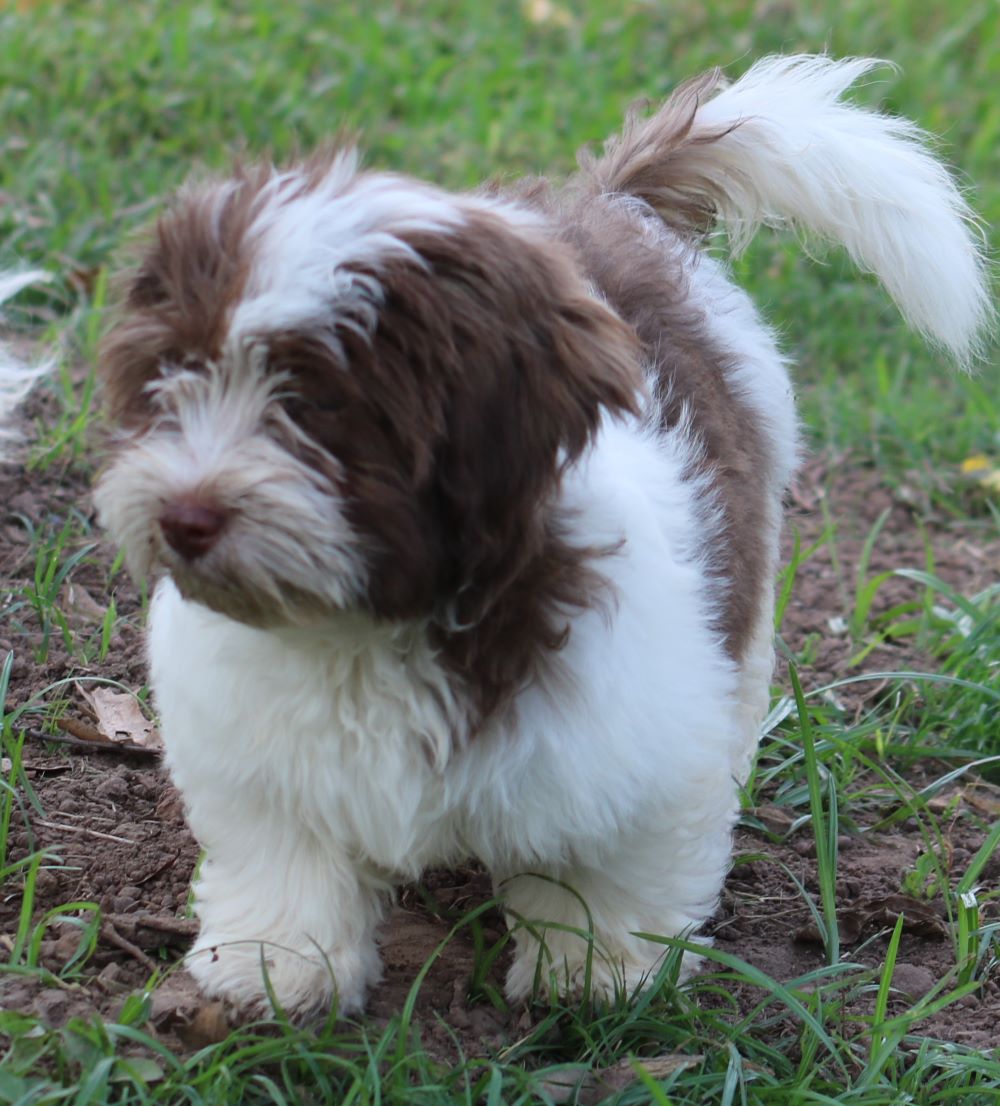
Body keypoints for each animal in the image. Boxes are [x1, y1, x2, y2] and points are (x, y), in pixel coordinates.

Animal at [95, 53, 991, 1017]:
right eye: (170, 378)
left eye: (316, 407)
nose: (184, 516)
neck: (375, 622)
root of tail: (605, 205)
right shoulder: (254, 742)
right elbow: (287, 853)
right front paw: (276, 967)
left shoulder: (630, 738)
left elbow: (611, 863)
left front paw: (598, 976)